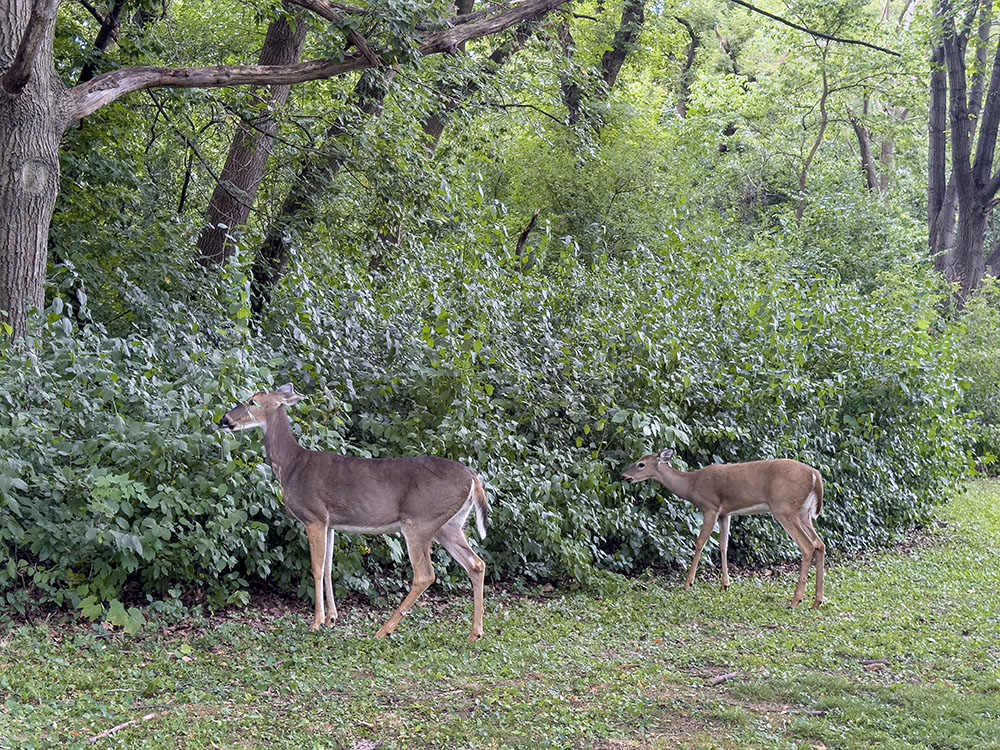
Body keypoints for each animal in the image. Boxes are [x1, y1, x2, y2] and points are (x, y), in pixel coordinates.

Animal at [219, 388, 488, 640]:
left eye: (252, 401)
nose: (224, 419)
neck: (291, 466)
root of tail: (474, 479)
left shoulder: (314, 516)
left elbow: (316, 568)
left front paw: (316, 622)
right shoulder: (330, 523)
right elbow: (328, 567)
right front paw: (331, 619)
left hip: (420, 521)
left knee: (425, 574)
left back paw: (384, 630)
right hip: (449, 525)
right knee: (476, 563)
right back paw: (475, 633)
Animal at [620, 450, 824, 608]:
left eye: (641, 464)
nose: (623, 476)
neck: (691, 484)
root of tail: (815, 476)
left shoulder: (710, 507)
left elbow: (700, 543)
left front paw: (688, 582)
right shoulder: (725, 513)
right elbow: (723, 545)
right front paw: (725, 585)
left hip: (784, 508)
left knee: (808, 546)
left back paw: (796, 601)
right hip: (804, 514)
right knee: (820, 544)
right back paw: (817, 601)